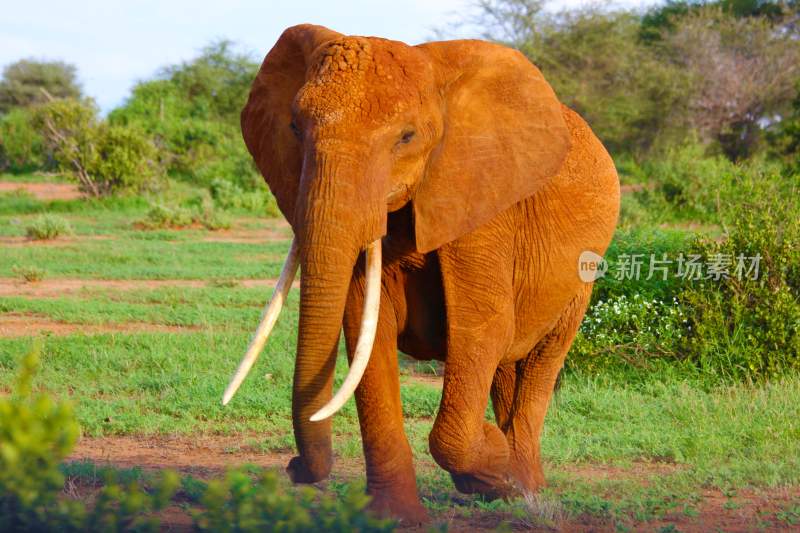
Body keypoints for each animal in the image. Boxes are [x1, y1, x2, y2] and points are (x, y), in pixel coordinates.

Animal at [222, 23, 620, 524]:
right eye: (295, 128)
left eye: (407, 137)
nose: (292, 467)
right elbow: (366, 332)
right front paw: (395, 519)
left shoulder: (481, 201)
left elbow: (482, 328)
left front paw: (492, 464)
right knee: (508, 366)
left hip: (584, 273)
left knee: (541, 359)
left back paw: (525, 489)